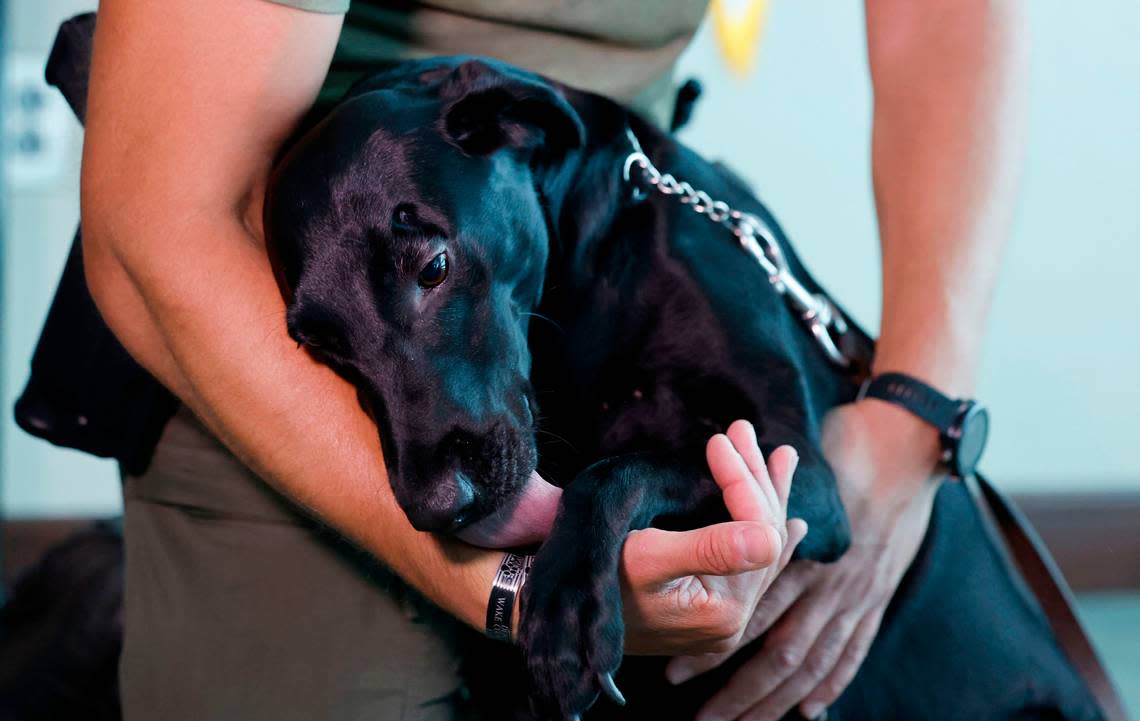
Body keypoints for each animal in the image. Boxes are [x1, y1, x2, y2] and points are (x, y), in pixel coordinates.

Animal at [266, 57, 870, 721]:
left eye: (434, 267)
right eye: (323, 347)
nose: (436, 509)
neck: (589, 284)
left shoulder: (796, 465)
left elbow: (616, 471)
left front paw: (567, 607)